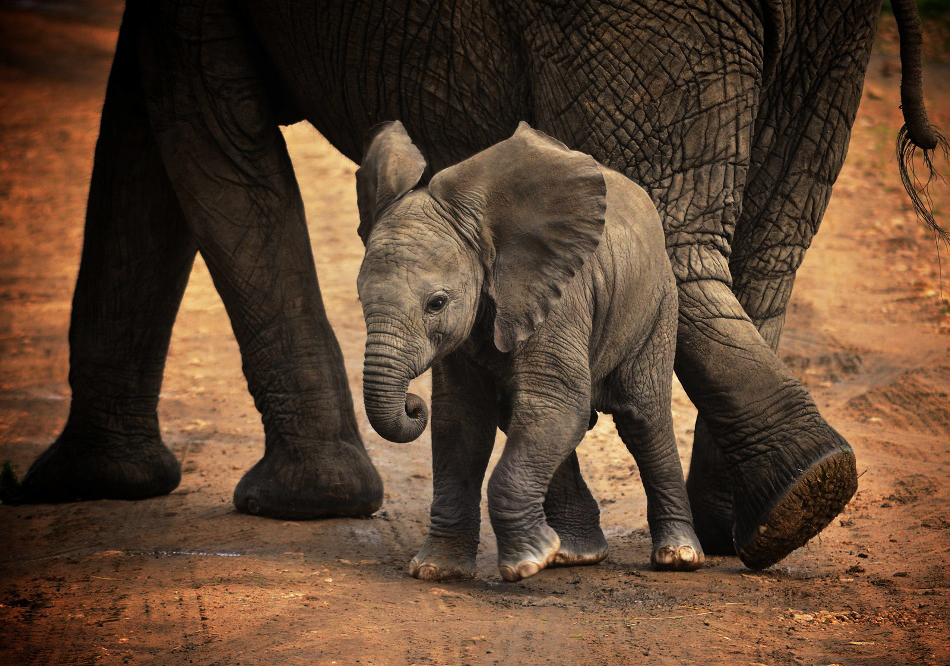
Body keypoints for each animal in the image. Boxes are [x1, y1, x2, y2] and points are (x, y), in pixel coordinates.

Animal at [356, 120, 704, 581]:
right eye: (360, 298)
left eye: (437, 303)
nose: (413, 405)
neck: (484, 232)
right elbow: (462, 420)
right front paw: (436, 571)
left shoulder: (561, 299)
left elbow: (553, 403)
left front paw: (524, 565)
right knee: (531, 418)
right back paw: (574, 553)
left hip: (657, 301)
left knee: (642, 416)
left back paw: (677, 556)